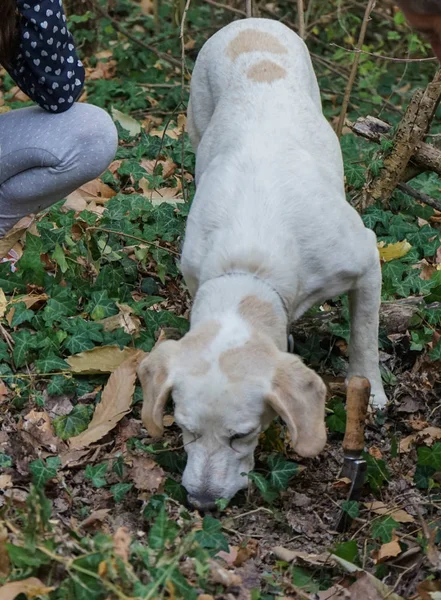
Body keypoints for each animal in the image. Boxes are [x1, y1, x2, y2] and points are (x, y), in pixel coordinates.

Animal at [137, 16, 384, 508]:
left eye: (242, 435)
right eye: (185, 430)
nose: (203, 501)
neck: (248, 267)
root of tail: (249, 21)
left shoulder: (366, 259)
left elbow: (364, 338)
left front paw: (373, 390)